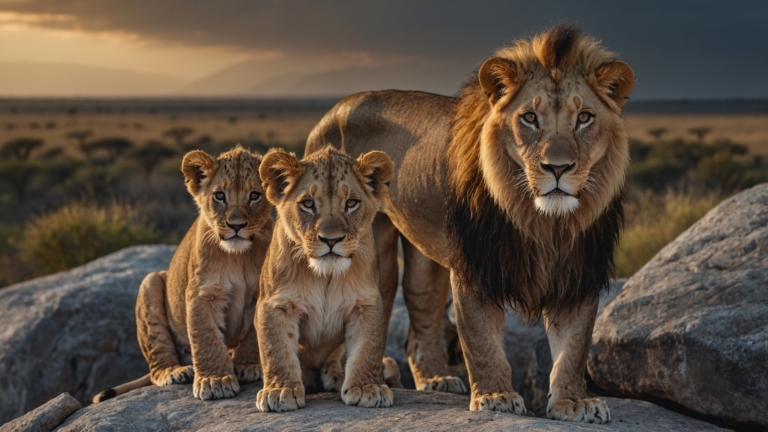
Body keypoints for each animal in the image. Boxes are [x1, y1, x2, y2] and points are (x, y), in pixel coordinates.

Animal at [92, 146, 273, 403]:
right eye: (219, 196)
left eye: (255, 195)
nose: (236, 225)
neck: (238, 256)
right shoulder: (202, 293)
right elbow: (206, 337)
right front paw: (215, 381)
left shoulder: (263, 292)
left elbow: (253, 336)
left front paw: (249, 366)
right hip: (150, 283)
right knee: (158, 363)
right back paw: (176, 372)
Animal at [255, 146, 396, 412]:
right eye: (308, 204)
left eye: (351, 203)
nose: (331, 240)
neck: (326, 275)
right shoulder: (275, 303)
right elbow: (276, 349)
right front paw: (280, 390)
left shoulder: (366, 303)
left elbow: (367, 347)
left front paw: (367, 387)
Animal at [304, 24, 633, 423]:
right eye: (529, 118)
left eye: (584, 118)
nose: (557, 168)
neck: (544, 221)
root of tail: (330, 111)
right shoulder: (474, 265)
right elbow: (480, 340)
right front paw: (495, 396)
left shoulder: (580, 270)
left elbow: (574, 347)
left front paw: (573, 403)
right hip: (369, 247)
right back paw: (350, 377)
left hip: (425, 251)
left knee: (419, 315)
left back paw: (435, 379)